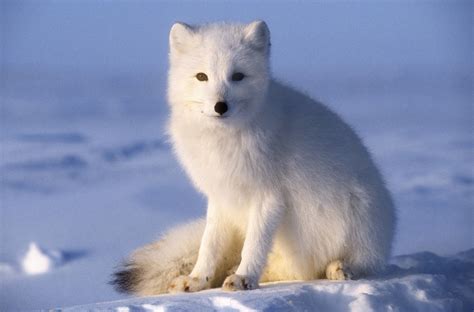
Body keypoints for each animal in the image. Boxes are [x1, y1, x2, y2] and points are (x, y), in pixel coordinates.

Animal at [112, 20, 396, 294]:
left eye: (237, 76)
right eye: (202, 77)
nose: (220, 106)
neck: (224, 142)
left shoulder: (268, 196)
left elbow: (255, 245)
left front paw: (244, 278)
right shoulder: (221, 196)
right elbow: (209, 245)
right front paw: (197, 280)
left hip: (360, 216)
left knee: (358, 263)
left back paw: (339, 267)